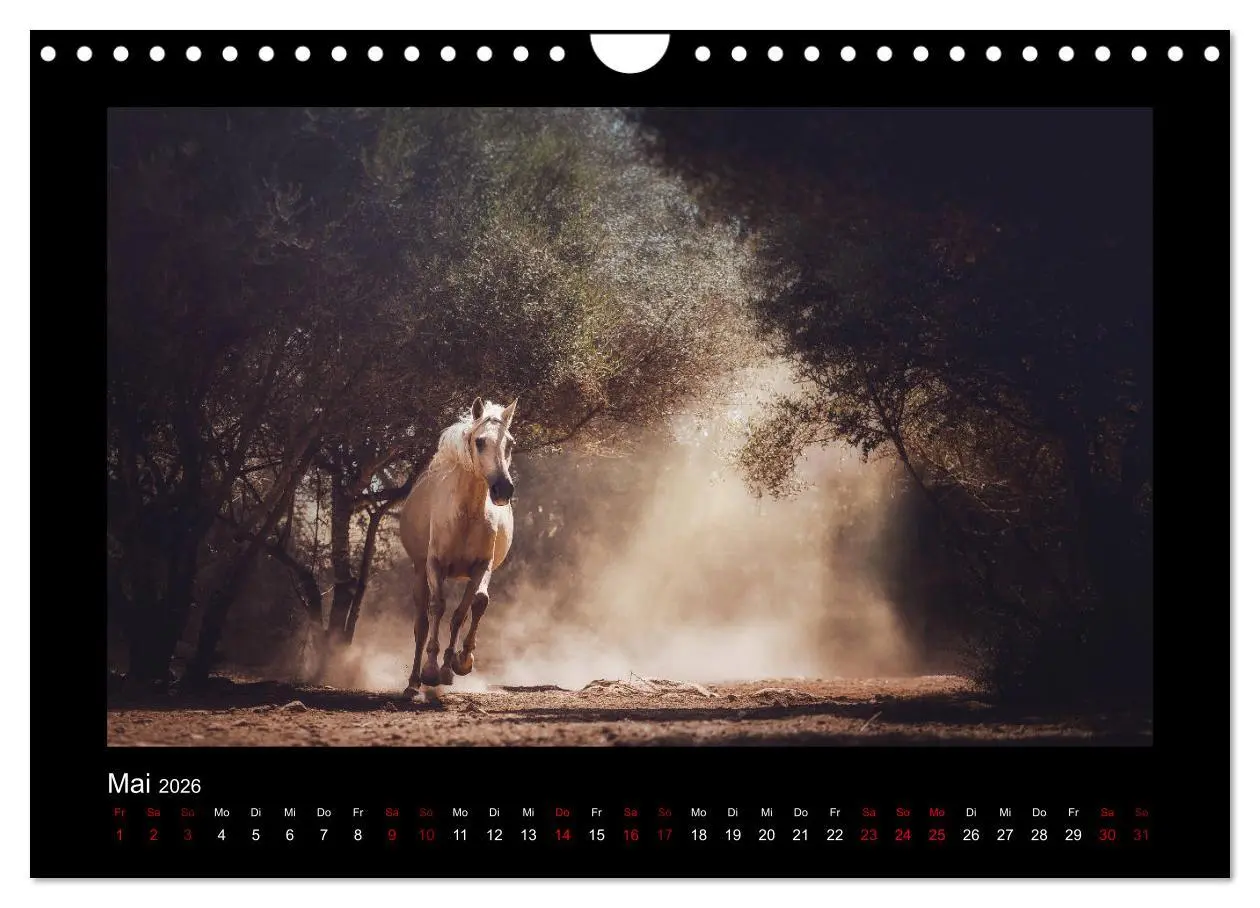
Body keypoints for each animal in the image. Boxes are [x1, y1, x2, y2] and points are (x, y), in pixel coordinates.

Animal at [399, 396, 517, 696]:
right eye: (480, 441)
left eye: (510, 443)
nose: (503, 489)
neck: (466, 515)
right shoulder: (435, 565)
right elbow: (438, 607)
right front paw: (431, 670)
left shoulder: (482, 566)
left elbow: (468, 608)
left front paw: (458, 664)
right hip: (419, 571)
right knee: (421, 622)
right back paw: (413, 683)